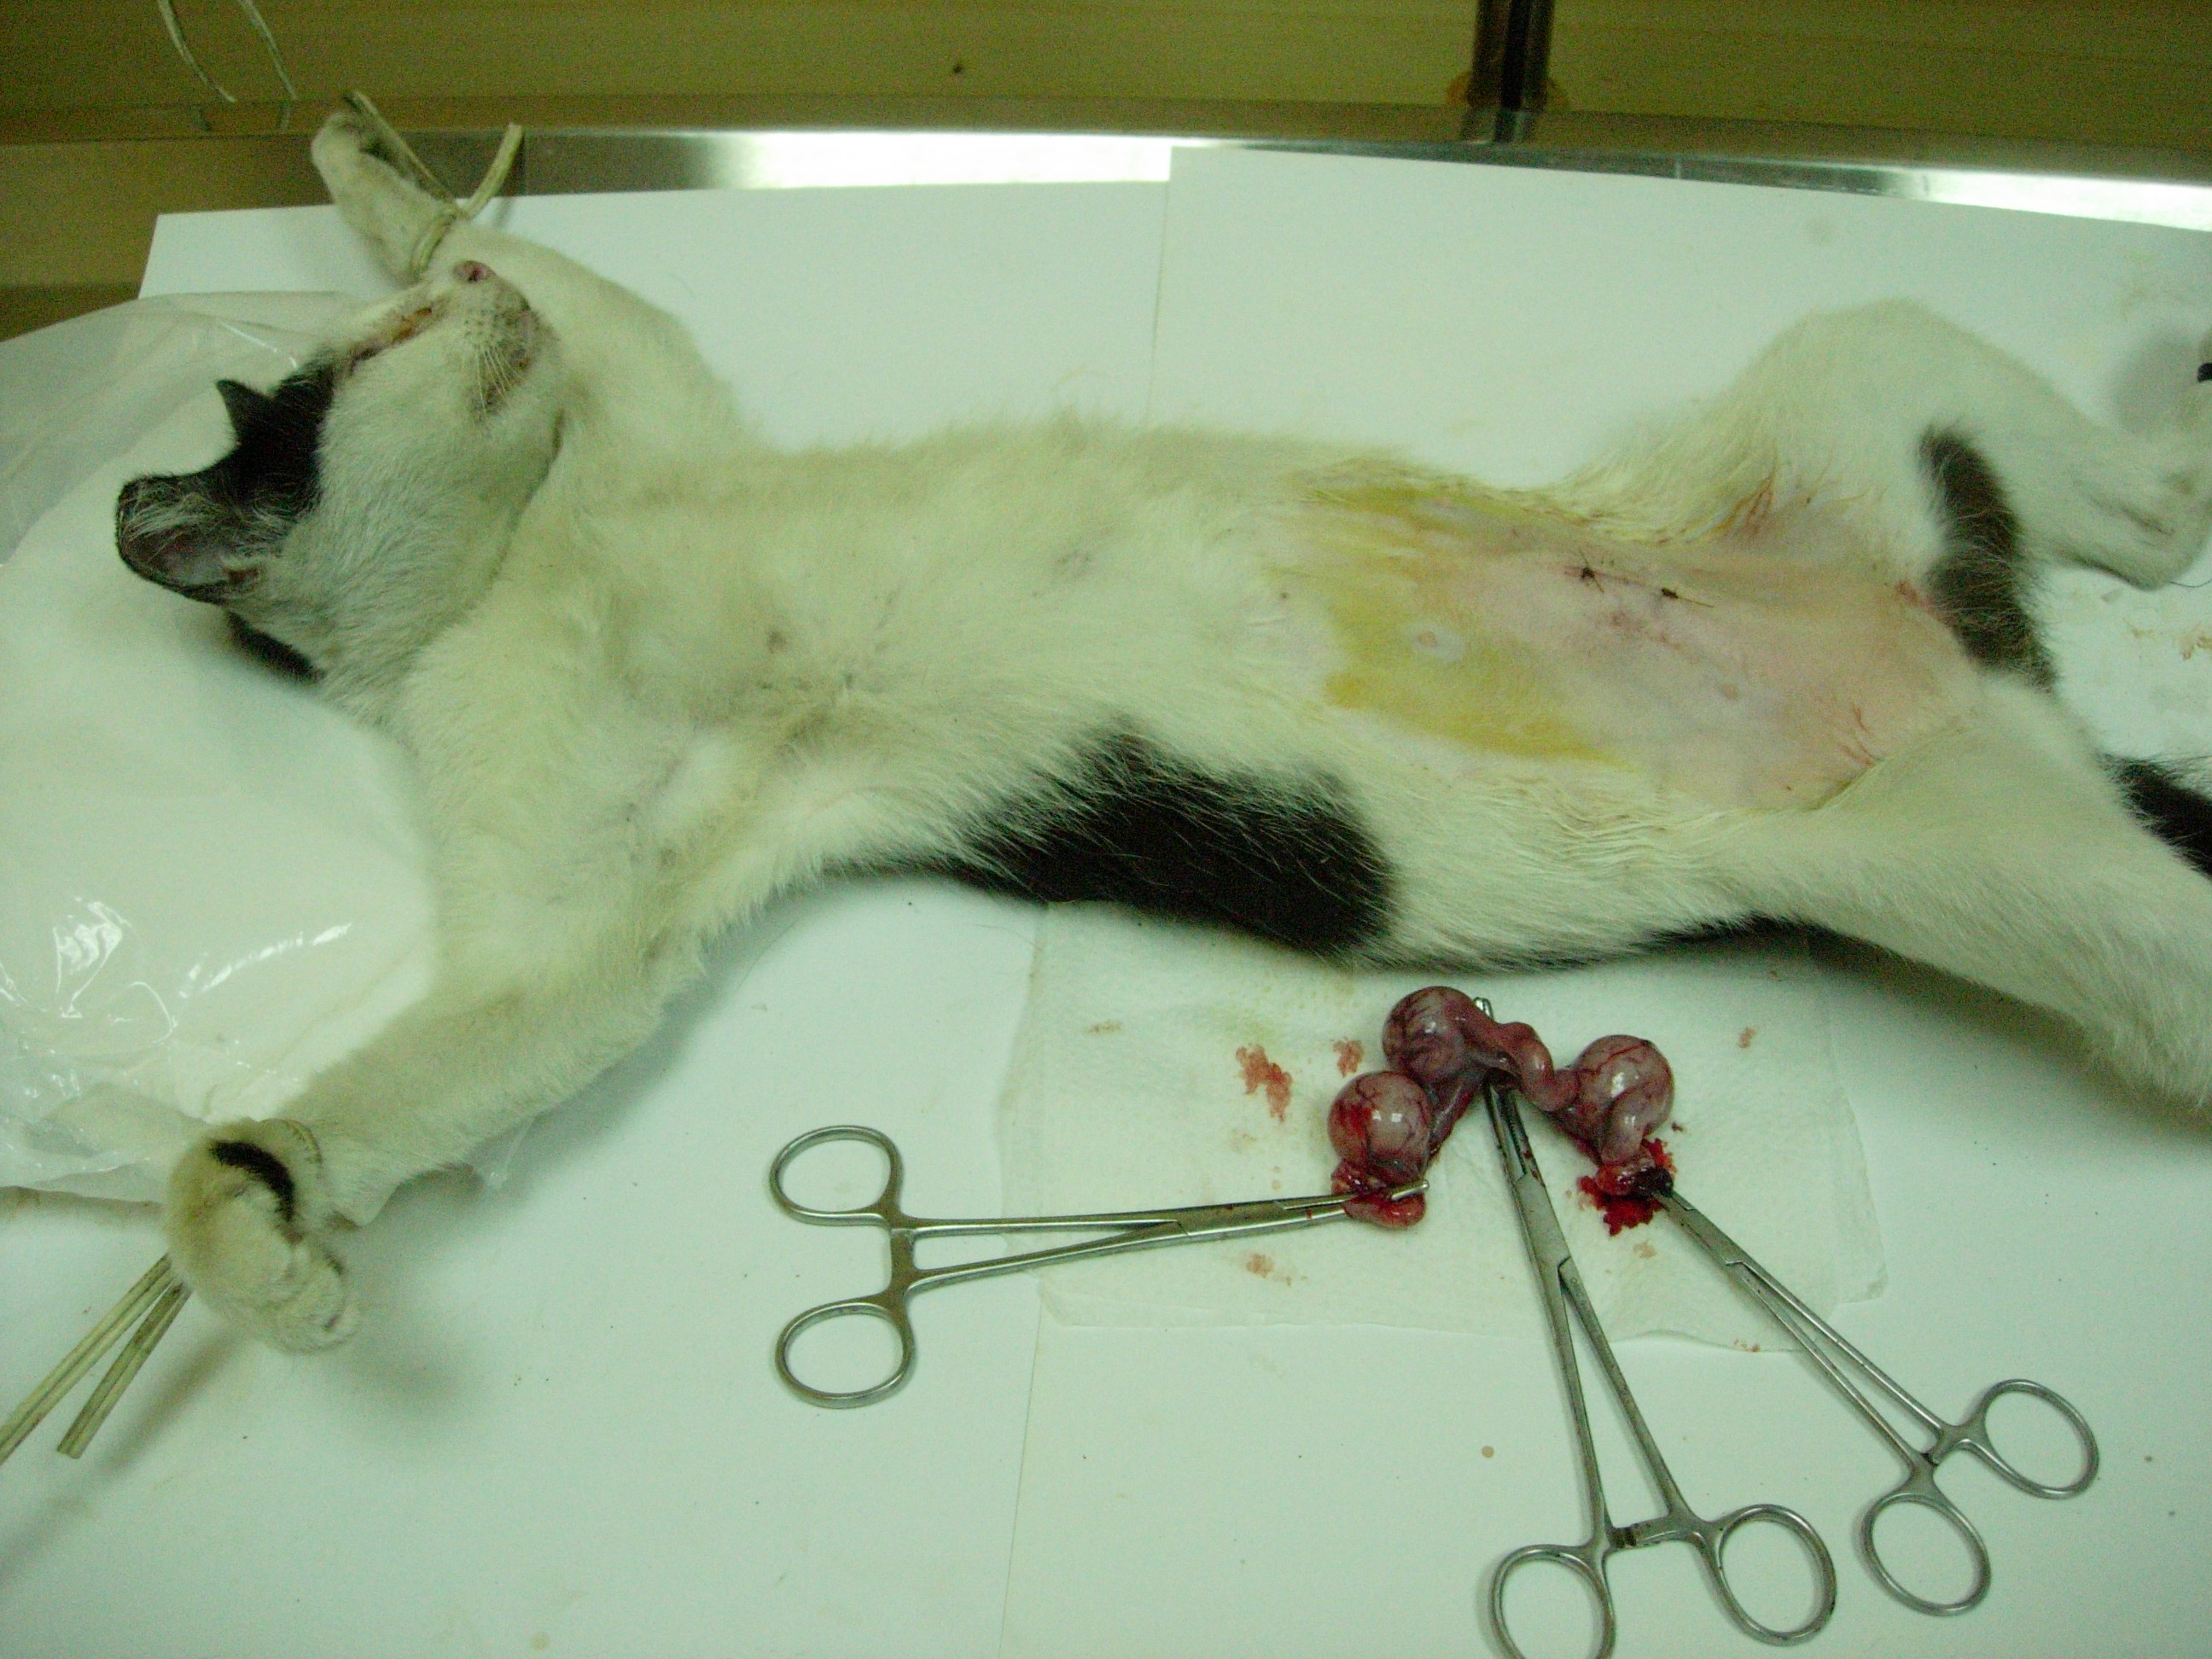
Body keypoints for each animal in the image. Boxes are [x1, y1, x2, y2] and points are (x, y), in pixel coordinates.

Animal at [114, 107, 2212, 1353]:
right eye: (354, 371)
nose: (460, 301)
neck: (539, 552)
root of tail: (1968, 662)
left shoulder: (636, 388)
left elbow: (564, 268)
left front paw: (384, 164)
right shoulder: (582, 892)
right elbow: (480, 1036)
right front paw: (264, 1240)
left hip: (1870, 386)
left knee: (2159, 516)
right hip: (2047, 855)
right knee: (2165, 573)